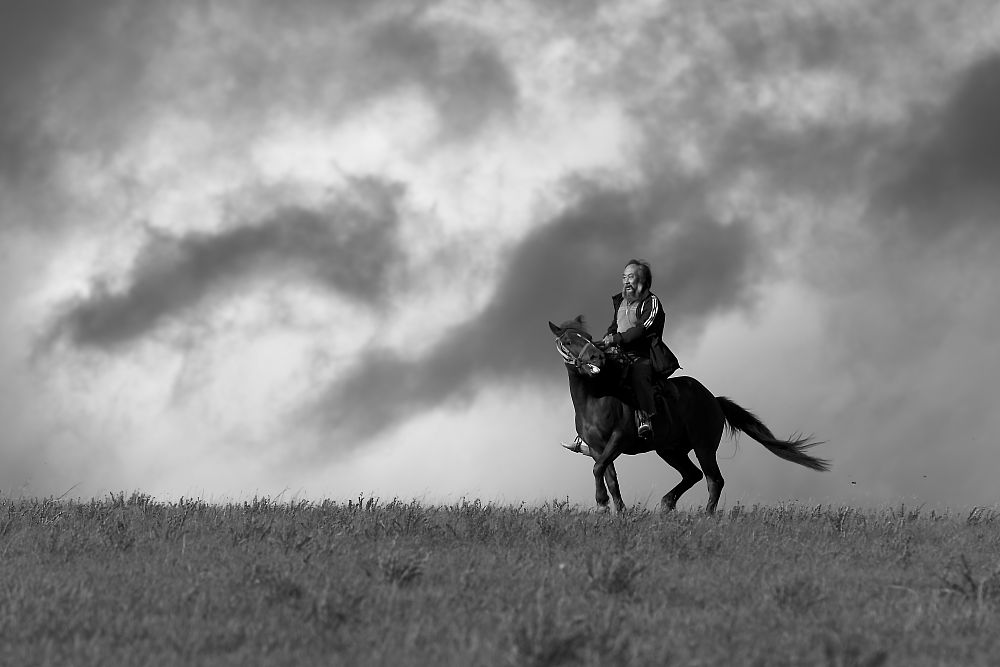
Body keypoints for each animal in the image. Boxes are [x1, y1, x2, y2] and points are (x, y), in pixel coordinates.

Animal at [548, 316, 828, 516]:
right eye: (568, 341)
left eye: (588, 338)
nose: (597, 357)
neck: (595, 399)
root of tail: (714, 400)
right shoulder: (598, 448)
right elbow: (608, 475)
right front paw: (615, 510)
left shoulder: (618, 439)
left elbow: (599, 469)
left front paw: (603, 503)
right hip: (669, 449)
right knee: (692, 475)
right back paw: (666, 503)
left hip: (704, 446)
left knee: (714, 479)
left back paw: (706, 515)